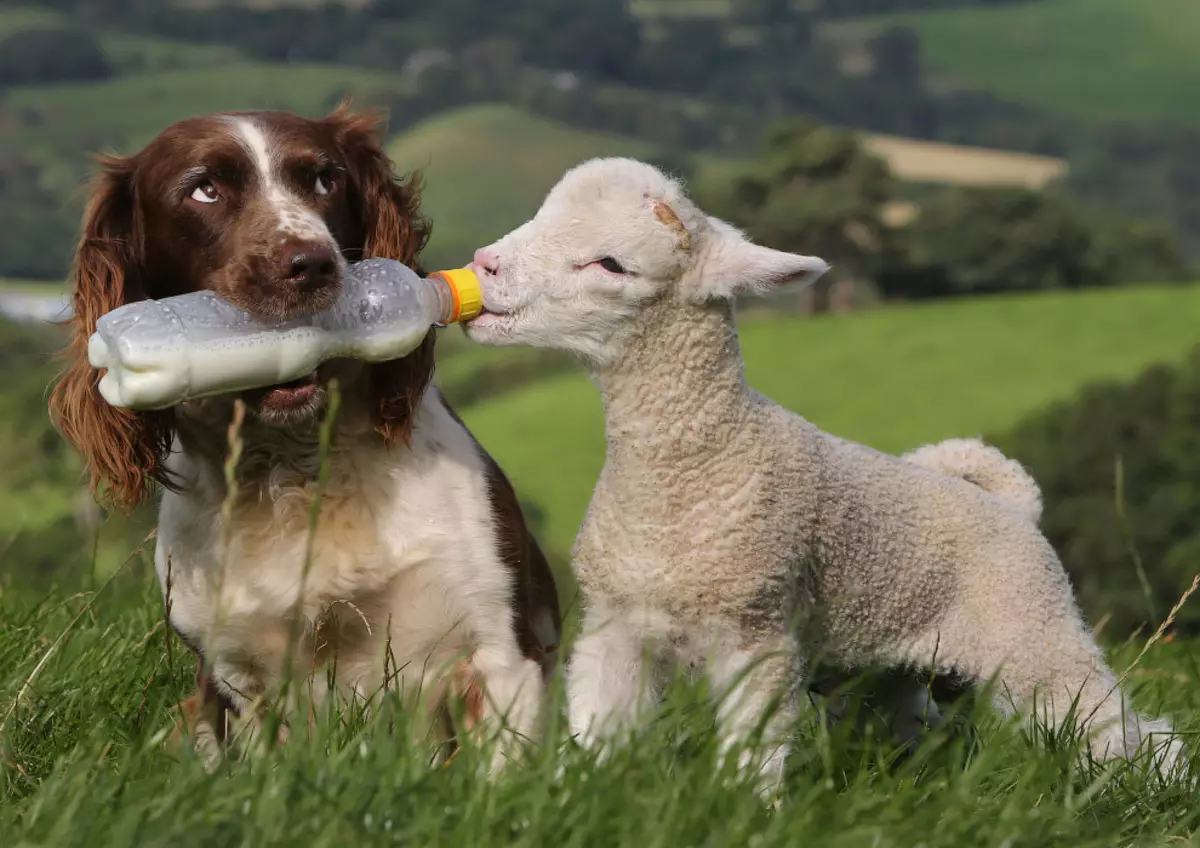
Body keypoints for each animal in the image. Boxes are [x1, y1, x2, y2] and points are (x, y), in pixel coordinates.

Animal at [49, 104, 564, 767]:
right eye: (203, 189)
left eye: (325, 179)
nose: (311, 262)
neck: (297, 469)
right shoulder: (239, 679)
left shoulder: (497, 654)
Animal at [463, 155, 1185, 791]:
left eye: (611, 263)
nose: (483, 264)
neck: (693, 468)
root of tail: (1013, 504)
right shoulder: (614, 628)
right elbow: (596, 738)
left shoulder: (756, 635)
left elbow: (749, 756)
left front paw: (746, 812)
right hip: (882, 667)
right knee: (914, 727)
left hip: (1033, 634)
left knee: (1117, 730)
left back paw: (1154, 790)